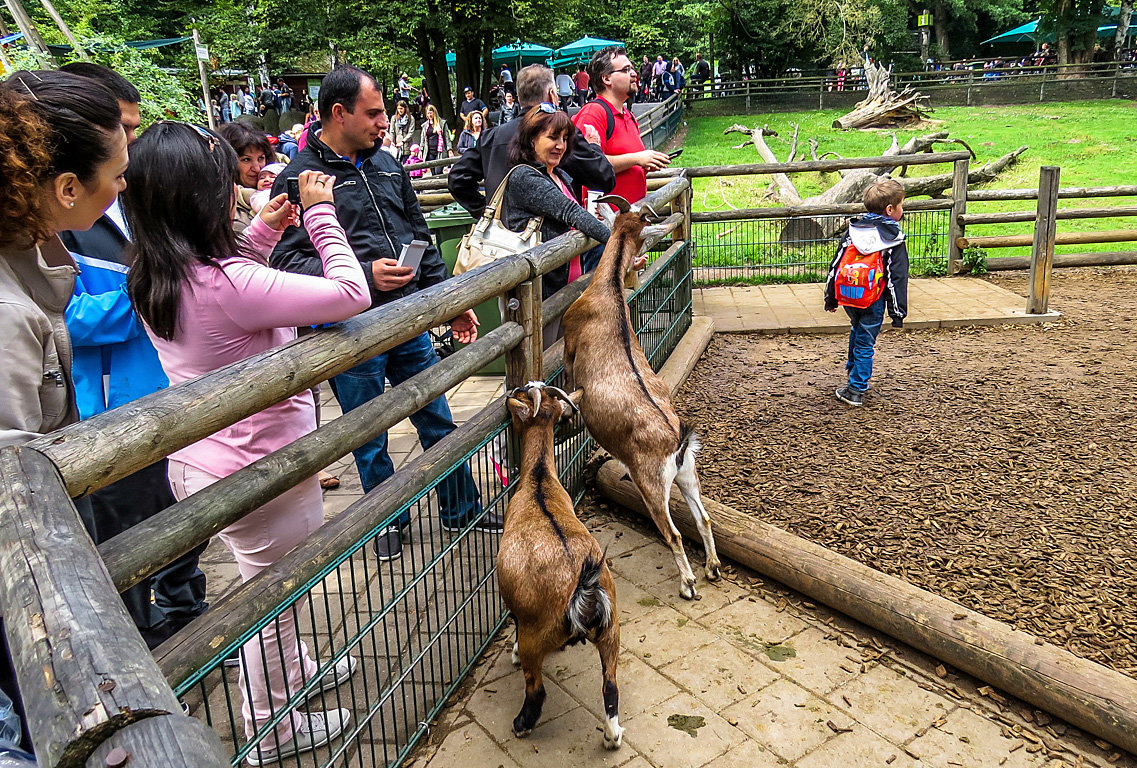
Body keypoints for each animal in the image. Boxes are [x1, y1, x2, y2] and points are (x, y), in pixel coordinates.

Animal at [498, 382, 623, 746]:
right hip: (611, 629)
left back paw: (521, 725)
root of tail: (583, 595)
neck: (539, 479)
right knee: (610, 686)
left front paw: (511, 651)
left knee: (536, 690)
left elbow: (513, 620)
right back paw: (612, 736)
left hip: (536, 634)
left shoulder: (519, 610)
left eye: (521, 396)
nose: (515, 387)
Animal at [563, 196, 723, 600]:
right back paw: (713, 568)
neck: (608, 291)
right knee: (704, 517)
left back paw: (688, 584)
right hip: (687, 475)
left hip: (651, 486)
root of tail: (677, 445)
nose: (596, 201)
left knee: (675, 534)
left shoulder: (569, 349)